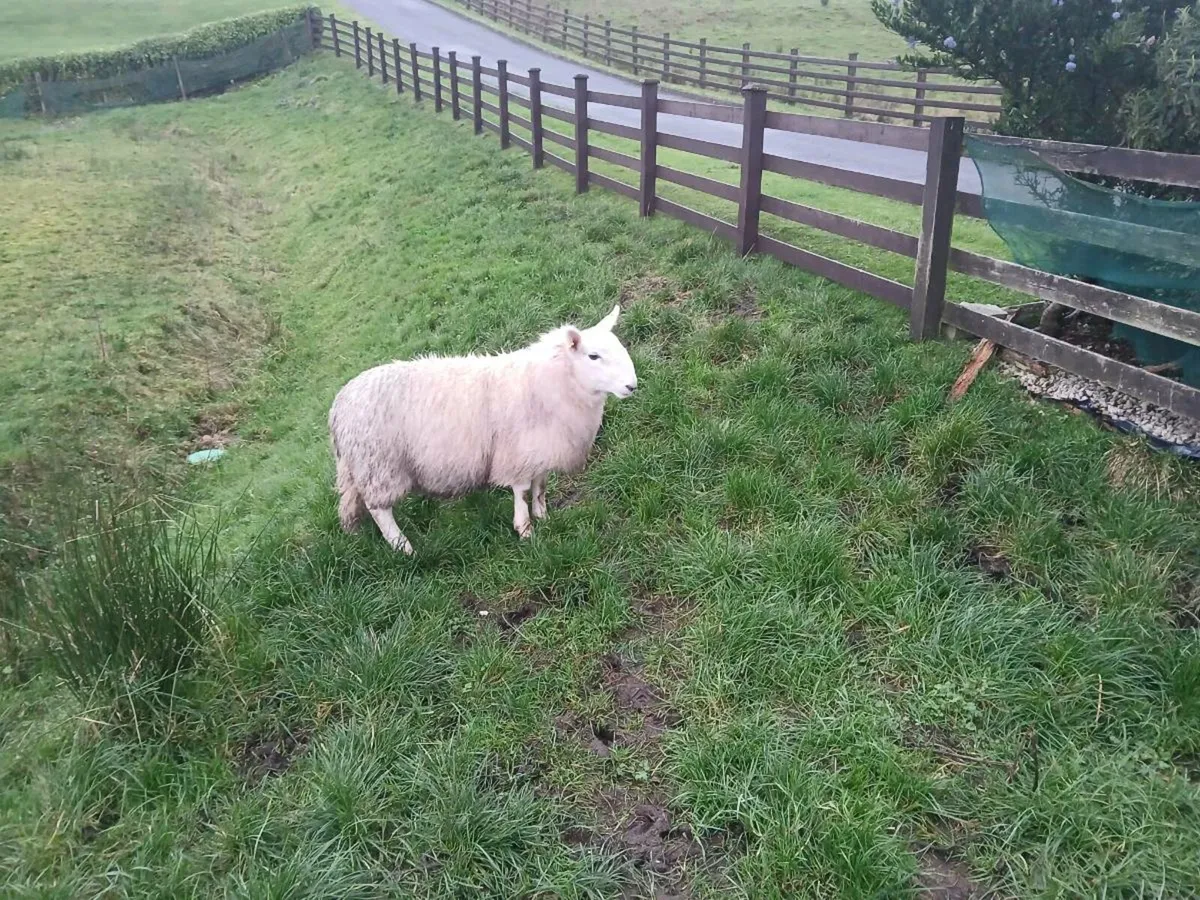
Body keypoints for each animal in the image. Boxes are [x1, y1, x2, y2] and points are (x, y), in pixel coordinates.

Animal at [328, 305, 637, 554]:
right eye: (593, 356)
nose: (632, 386)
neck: (553, 381)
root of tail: (338, 405)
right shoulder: (516, 453)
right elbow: (522, 490)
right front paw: (525, 529)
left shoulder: (540, 446)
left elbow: (540, 485)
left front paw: (543, 515)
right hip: (380, 466)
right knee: (380, 510)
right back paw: (403, 547)